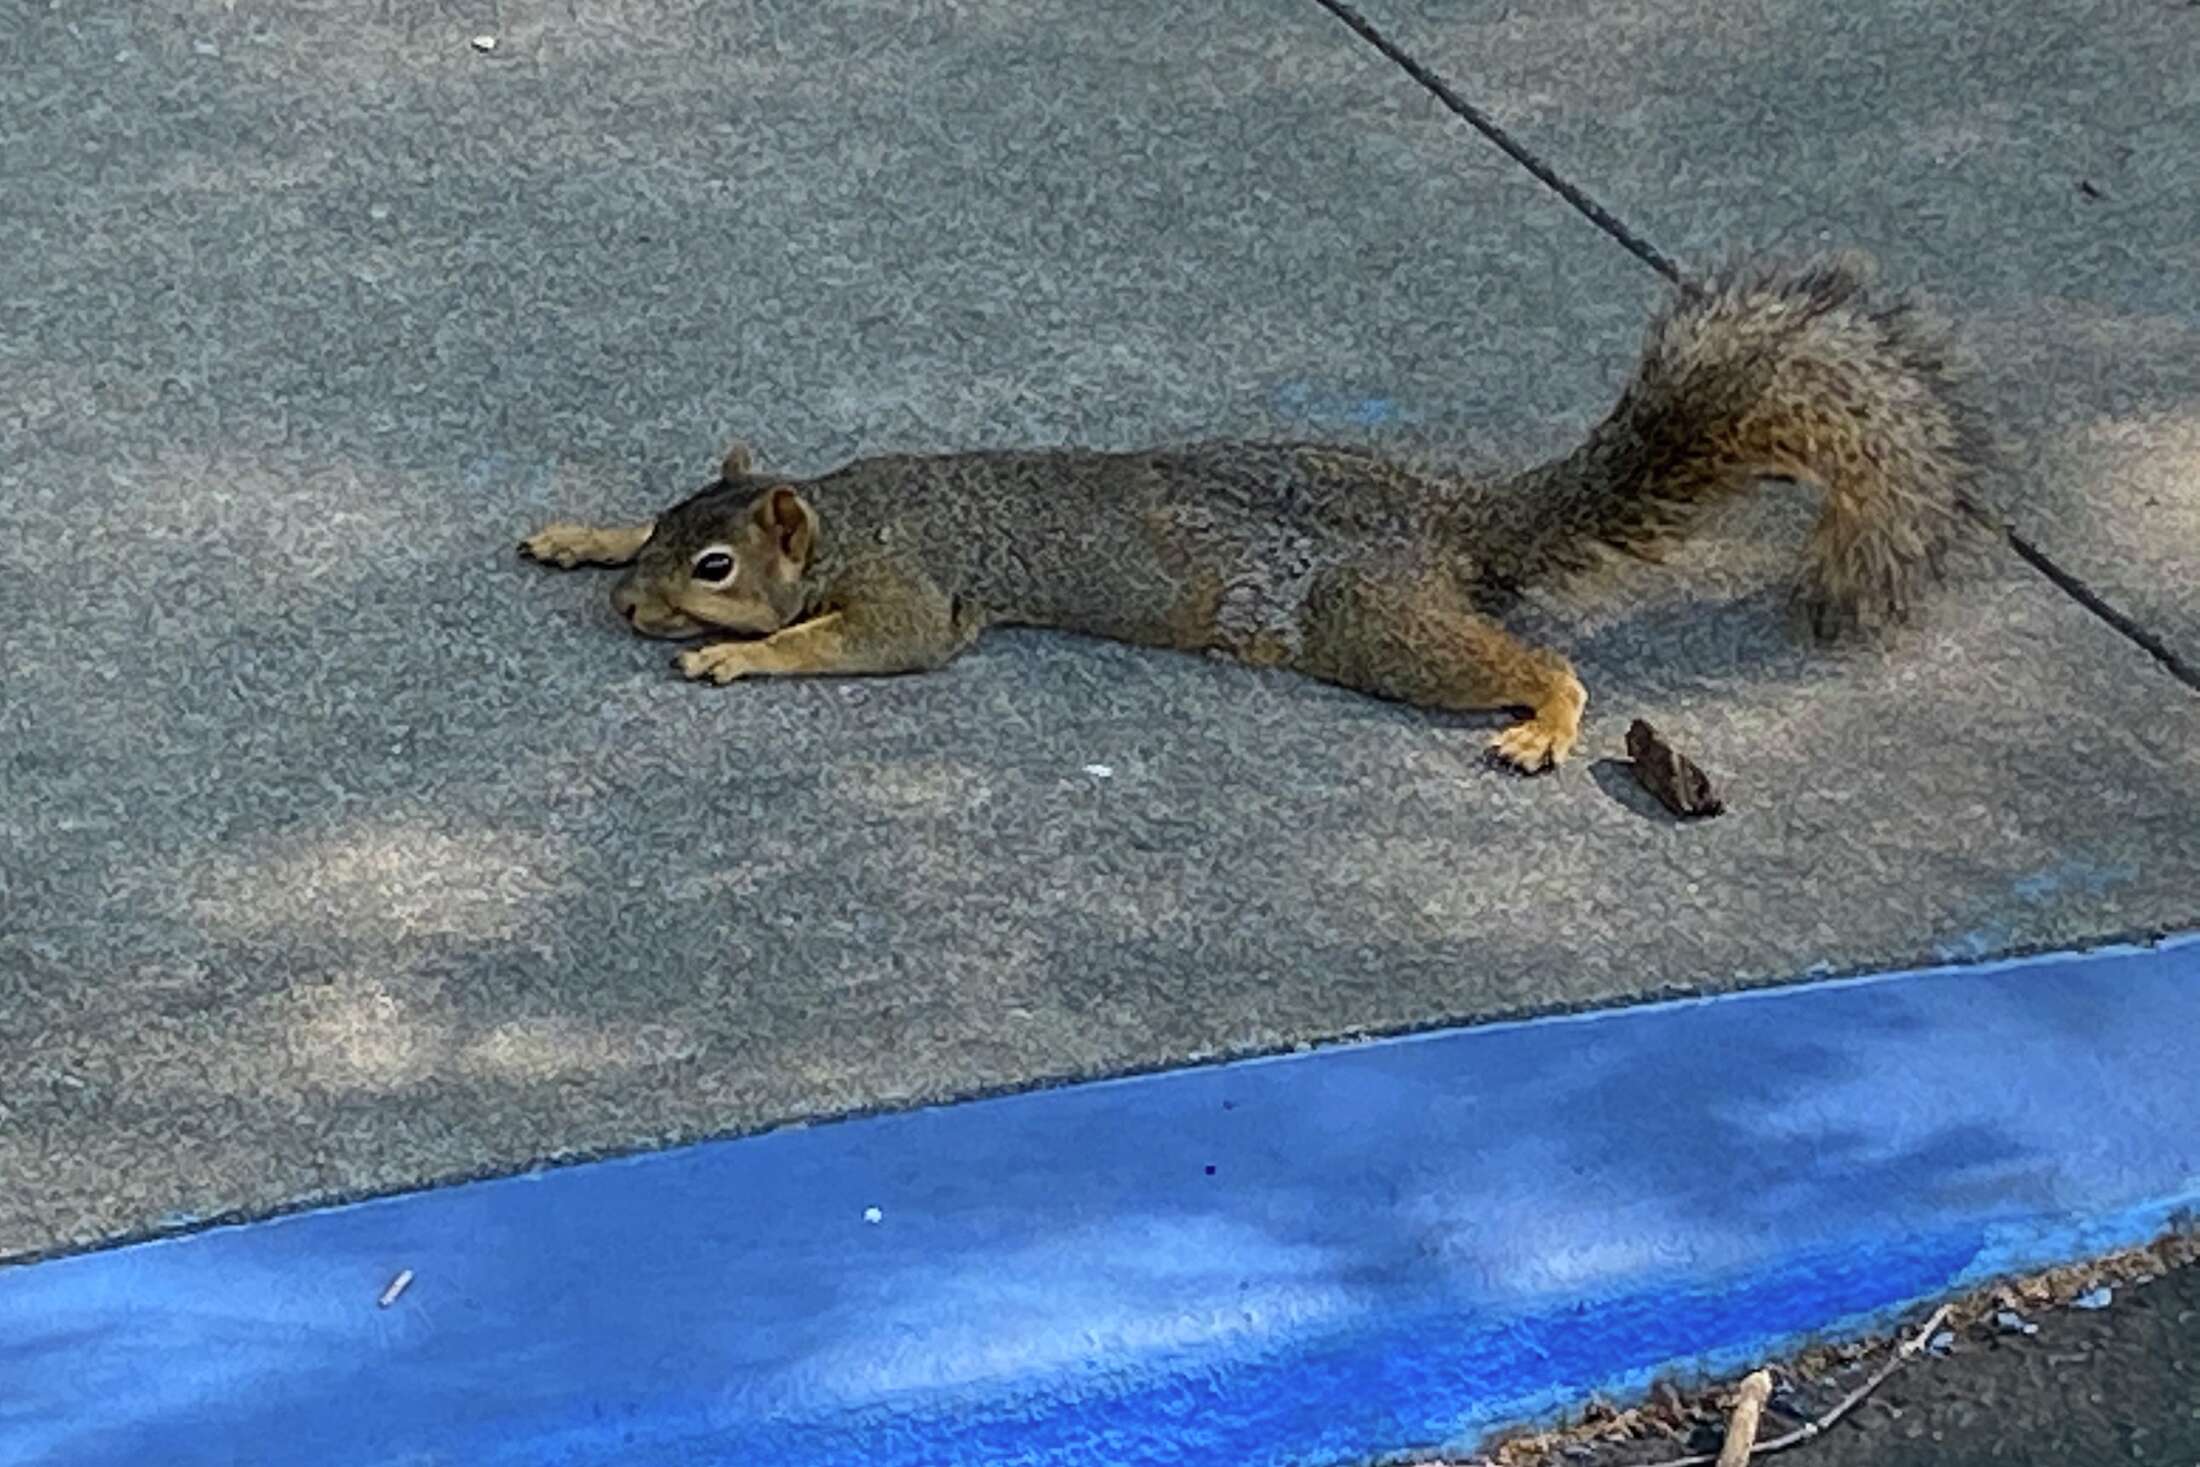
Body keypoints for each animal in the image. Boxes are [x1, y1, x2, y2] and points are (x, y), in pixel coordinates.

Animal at [519, 254, 1984, 772]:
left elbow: (857, 642)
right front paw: (579, 534)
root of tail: (1443, 520)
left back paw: (1547, 719)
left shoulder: (911, 591)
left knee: (1524, 657)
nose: (629, 609)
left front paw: (738, 654)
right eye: (671, 523)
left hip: (1372, 622)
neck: (839, 512)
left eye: (715, 564)